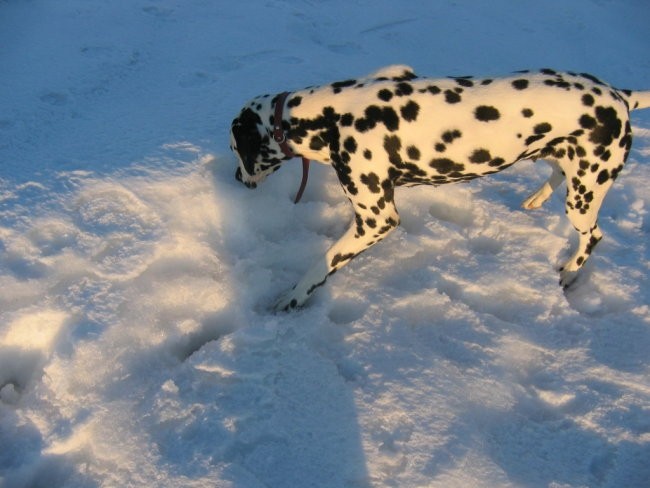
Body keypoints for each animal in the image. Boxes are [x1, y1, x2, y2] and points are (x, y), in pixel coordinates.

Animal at [229, 65, 648, 310]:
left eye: (234, 149)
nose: (234, 178)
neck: (335, 117)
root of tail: (620, 96)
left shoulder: (377, 219)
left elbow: (323, 263)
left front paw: (293, 296)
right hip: (563, 163)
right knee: (558, 176)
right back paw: (535, 198)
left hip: (585, 195)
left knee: (593, 236)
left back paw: (571, 274)